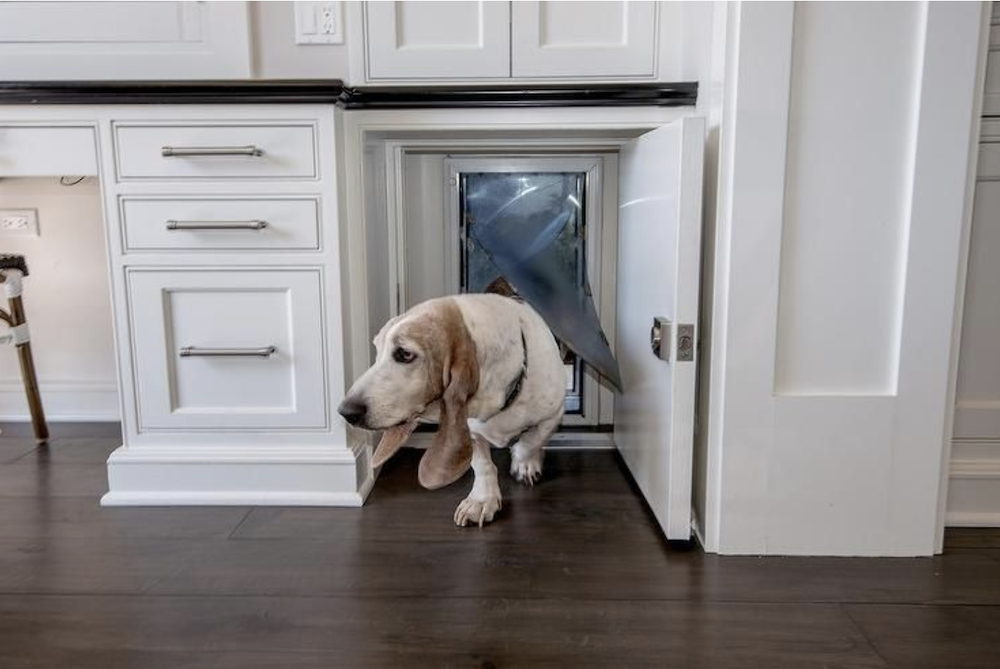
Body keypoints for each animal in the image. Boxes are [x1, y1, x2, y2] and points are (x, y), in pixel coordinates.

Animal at [338, 294, 568, 524]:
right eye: (377, 350)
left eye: (404, 354)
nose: (345, 412)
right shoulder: (470, 428)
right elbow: (482, 464)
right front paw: (482, 500)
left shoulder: (554, 414)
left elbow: (531, 441)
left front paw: (523, 463)